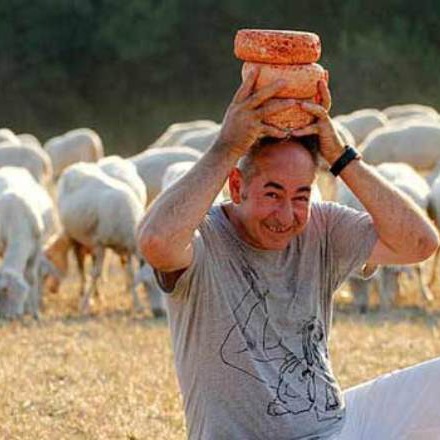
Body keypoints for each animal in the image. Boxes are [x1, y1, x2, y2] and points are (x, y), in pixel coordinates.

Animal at [53, 162, 144, 312]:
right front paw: (84, 305)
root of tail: (74, 166)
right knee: (81, 266)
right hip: (74, 236)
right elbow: (96, 273)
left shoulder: (126, 249)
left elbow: (130, 274)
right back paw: (84, 294)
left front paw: (137, 305)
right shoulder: (100, 243)